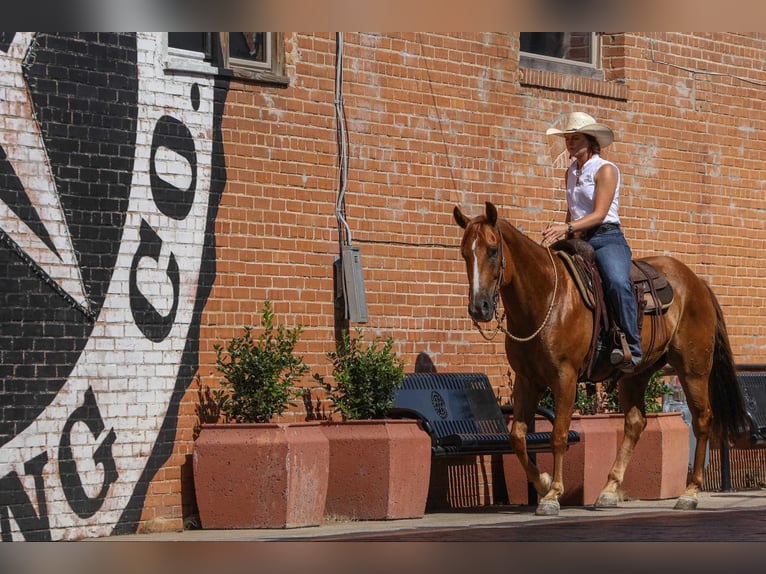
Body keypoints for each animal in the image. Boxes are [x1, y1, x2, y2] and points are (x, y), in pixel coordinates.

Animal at [456, 201, 752, 516]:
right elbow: (517, 437)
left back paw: (690, 492)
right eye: (464, 253)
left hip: (693, 368)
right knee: (635, 422)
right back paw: (609, 489)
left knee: (702, 419)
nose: (479, 308)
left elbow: (558, 435)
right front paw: (544, 482)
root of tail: (697, 283)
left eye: (492, 250)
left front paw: (552, 495)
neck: (546, 298)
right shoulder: (527, 380)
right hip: (637, 373)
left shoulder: (564, 377)